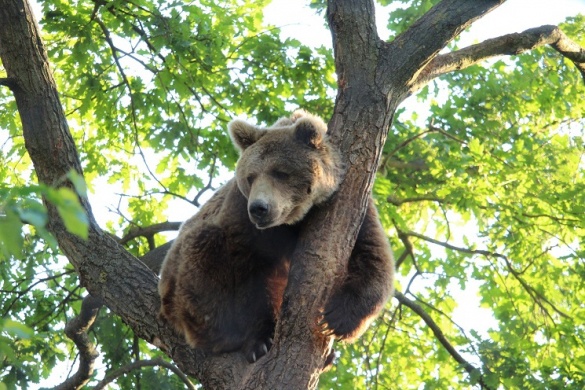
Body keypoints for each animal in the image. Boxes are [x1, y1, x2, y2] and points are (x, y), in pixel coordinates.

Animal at [157, 109, 394, 362]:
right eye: (250, 177)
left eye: (280, 173)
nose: (259, 208)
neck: (293, 221)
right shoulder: (244, 221)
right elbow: (246, 275)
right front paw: (260, 340)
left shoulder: (353, 209)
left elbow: (372, 256)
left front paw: (337, 318)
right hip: (180, 285)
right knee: (207, 251)